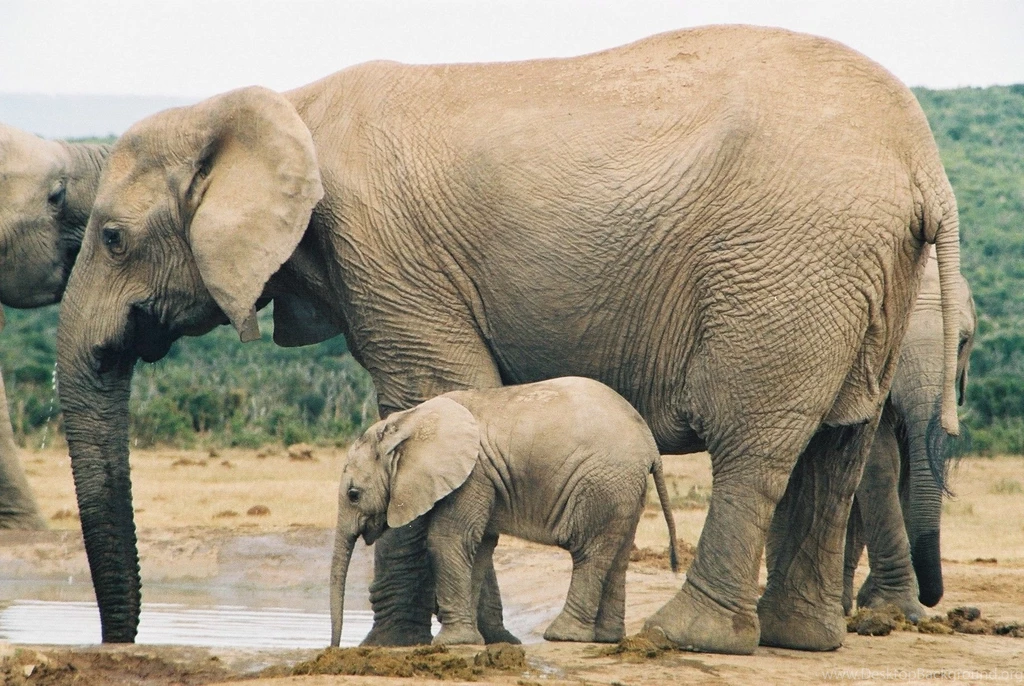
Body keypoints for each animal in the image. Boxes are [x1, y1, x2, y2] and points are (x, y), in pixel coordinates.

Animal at [330, 377, 680, 647]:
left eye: (353, 494)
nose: (332, 648)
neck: (407, 422)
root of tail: (649, 443)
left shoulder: (473, 474)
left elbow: (447, 539)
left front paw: (453, 642)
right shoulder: (481, 478)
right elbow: (480, 546)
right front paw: (471, 640)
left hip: (602, 480)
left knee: (589, 552)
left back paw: (563, 635)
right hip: (624, 485)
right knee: (617, 554)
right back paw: (607, 638)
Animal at [843, 250, 976, 620]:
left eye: (962, 343)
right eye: (897, 340)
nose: (930, 597)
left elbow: (908, 471)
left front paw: (878, 603)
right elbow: (880, 462)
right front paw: (899, 608)